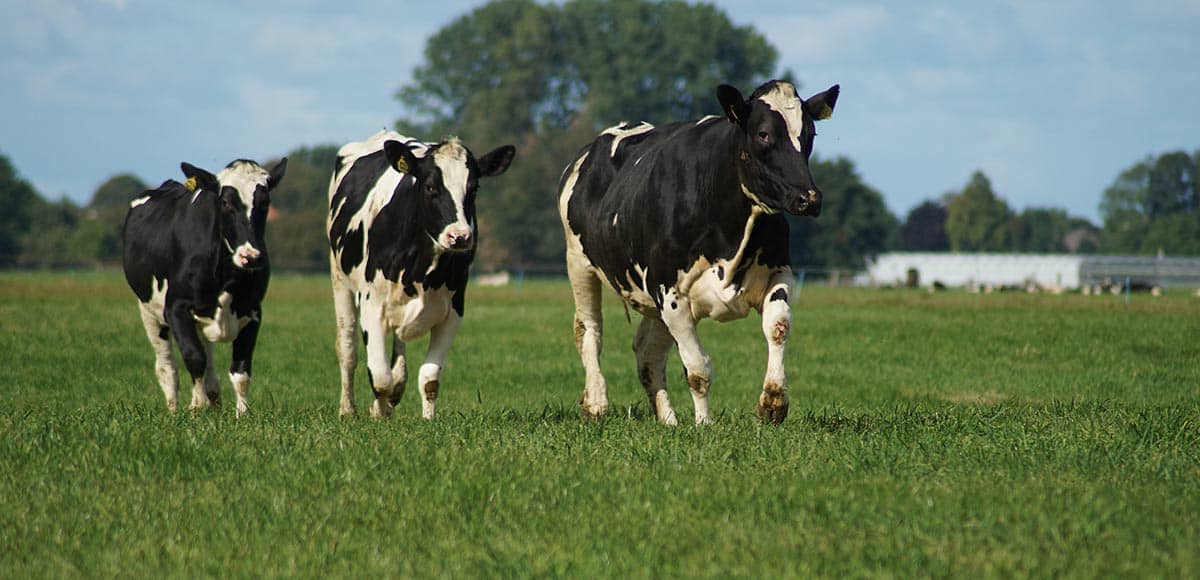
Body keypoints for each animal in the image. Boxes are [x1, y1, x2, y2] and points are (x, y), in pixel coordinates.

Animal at [123, 158, 287, 416]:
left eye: (265, 203)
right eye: (226, 202)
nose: (251, 256)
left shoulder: (253, 311)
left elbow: (241, 370)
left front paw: (242, 414)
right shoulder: (176, 307)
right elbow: (194, 356)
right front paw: (196, 406)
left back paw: (213, 396)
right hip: (148, 310)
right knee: (167, 366)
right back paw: (174, 408)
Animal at [327, 130, 514, 419]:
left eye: (473, 188)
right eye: (430, 187)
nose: (459, 236)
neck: (422, 268)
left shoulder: (453, 310)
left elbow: (429, 378)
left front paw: (427, 419)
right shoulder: (372, 304)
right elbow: (379, 376)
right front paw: (380, 412)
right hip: (340, 282)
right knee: (347, 348)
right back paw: (348, 409)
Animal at [557, 79, 839, 425]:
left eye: (810, 134)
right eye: (763, 134)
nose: (808, 198)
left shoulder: (778, 271)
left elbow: (778, 327)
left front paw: (773, 402)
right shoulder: (670, 293)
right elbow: (698, 370)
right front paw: (704, 424)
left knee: (647, 352)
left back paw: (668, 420)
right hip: (579, 263)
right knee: (589, 330)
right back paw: (597, 403)